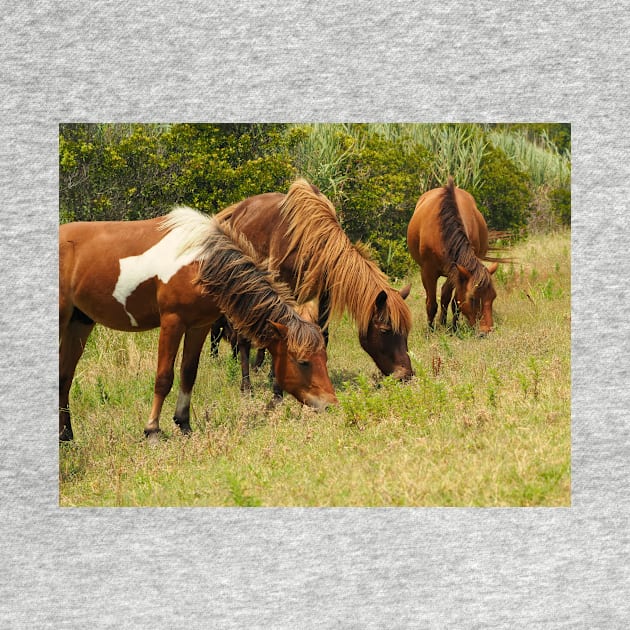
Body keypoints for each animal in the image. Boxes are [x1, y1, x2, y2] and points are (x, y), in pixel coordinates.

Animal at [58, 205, 340, 442]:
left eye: (324, 357)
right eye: (302, 362)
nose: (331, 404)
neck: (201, 262)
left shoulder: (199, 326)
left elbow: (188, 373)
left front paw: (183, 423)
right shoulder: (172, 322)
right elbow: (164, 377)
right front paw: (152, 430)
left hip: (79, 323)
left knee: (64, 376)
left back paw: (66, 436)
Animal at [215, 180, 418, 382]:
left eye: (406, 331)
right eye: (385, 330)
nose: (406, 374)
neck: (311, 239)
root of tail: (238, 211)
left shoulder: (325, 296)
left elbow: (322, 335)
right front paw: (275, 376)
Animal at [408, 178, 502, 336]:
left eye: (493, 296)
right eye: (473, 298)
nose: (486, 331)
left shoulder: (457, 271)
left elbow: (454, 301)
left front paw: (454, 328)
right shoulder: (427, 272)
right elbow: (431, 304)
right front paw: (430, 332)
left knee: (446, 295)